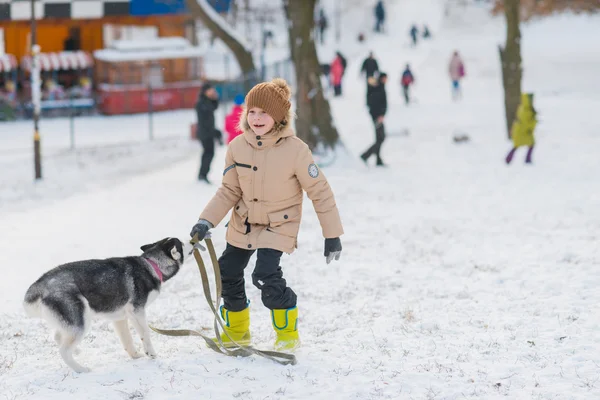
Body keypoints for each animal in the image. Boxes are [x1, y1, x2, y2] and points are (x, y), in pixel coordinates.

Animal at [23, 238, 191, 372]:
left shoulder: (120, 318)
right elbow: (146, 333)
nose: (192, 241)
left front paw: (135, 356)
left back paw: (76, 351)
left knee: (58, 336)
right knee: (63, 350)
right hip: (81, 320)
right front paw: (150, 353)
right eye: (182, 244)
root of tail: (40, 284)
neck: (151, 264)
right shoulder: (137, 311)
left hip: (71, 321)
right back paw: (80, 369)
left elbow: (127, 340)